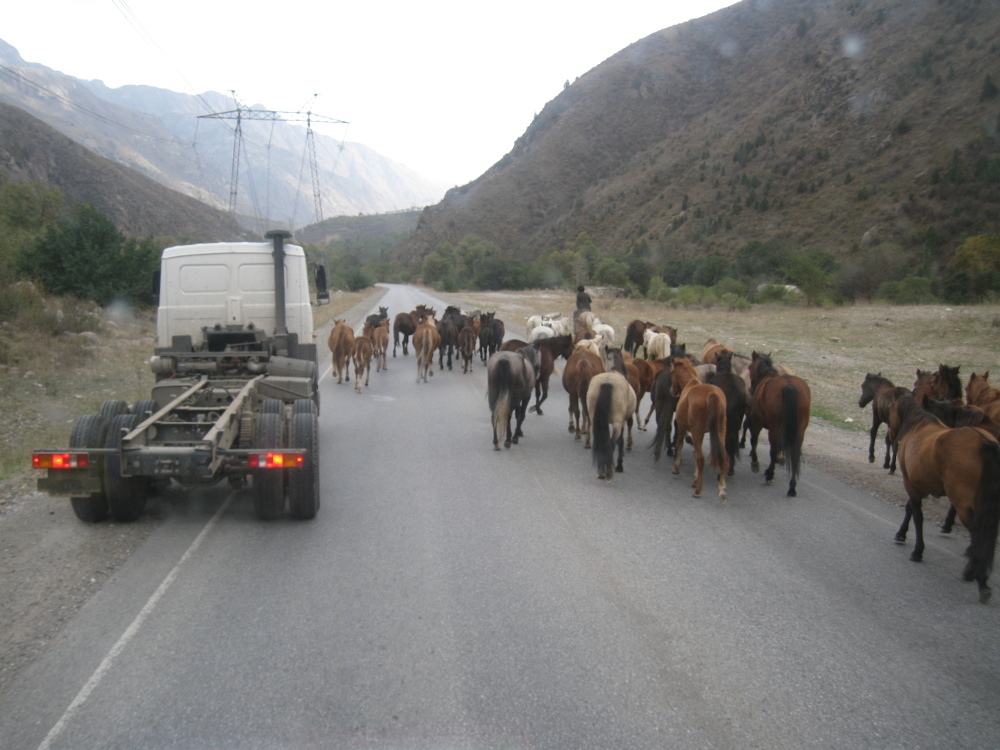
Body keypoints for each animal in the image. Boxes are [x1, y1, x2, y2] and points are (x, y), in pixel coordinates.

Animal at [672, 356, 728, 500]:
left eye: (671, 373)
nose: (672, 391)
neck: (690, 383)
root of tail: (712, 395)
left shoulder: (682, 427)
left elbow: (679, 445)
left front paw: (677, 468)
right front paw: (695, 478)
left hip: (697, 431)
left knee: (700, 458)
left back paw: (698, 490)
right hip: (720, 430)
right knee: (722, 457)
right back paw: (722, 490)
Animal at [752, 354, 812, 500]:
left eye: (750, 367)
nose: (751, 388)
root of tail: (789, 386)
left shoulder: (756, 421)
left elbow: (754, 440)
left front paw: (755, 462)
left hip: (774, 429)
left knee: (773, 450)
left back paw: (769, 475)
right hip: (798, 431)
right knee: (795, 453)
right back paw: (792, 487)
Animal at [892, 394, 1000, 604]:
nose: (891, 435)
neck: (920, 427)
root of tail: (984, 441)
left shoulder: (911, 483)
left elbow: (917, 516)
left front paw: (917, 551)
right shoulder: (917, 484)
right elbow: (910, 509)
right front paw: (901, 534)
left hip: (963, 502)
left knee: (978, 534)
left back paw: (978, 578)